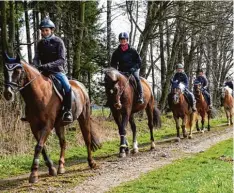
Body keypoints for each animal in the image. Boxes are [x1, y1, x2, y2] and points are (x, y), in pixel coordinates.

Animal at [2, 52, 101, 182]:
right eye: (4, 70)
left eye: (18, 71)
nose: (8, 94)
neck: (39, 95)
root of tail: (81, 86)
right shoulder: (34, 126)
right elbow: (42, 147)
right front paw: (51, 168)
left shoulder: (48, 125)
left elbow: (39, 146)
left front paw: (33, 174)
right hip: (59, 125)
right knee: (63, 143)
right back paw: (61, 167)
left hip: (83, 117)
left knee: (87, 139)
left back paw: (91, 163)